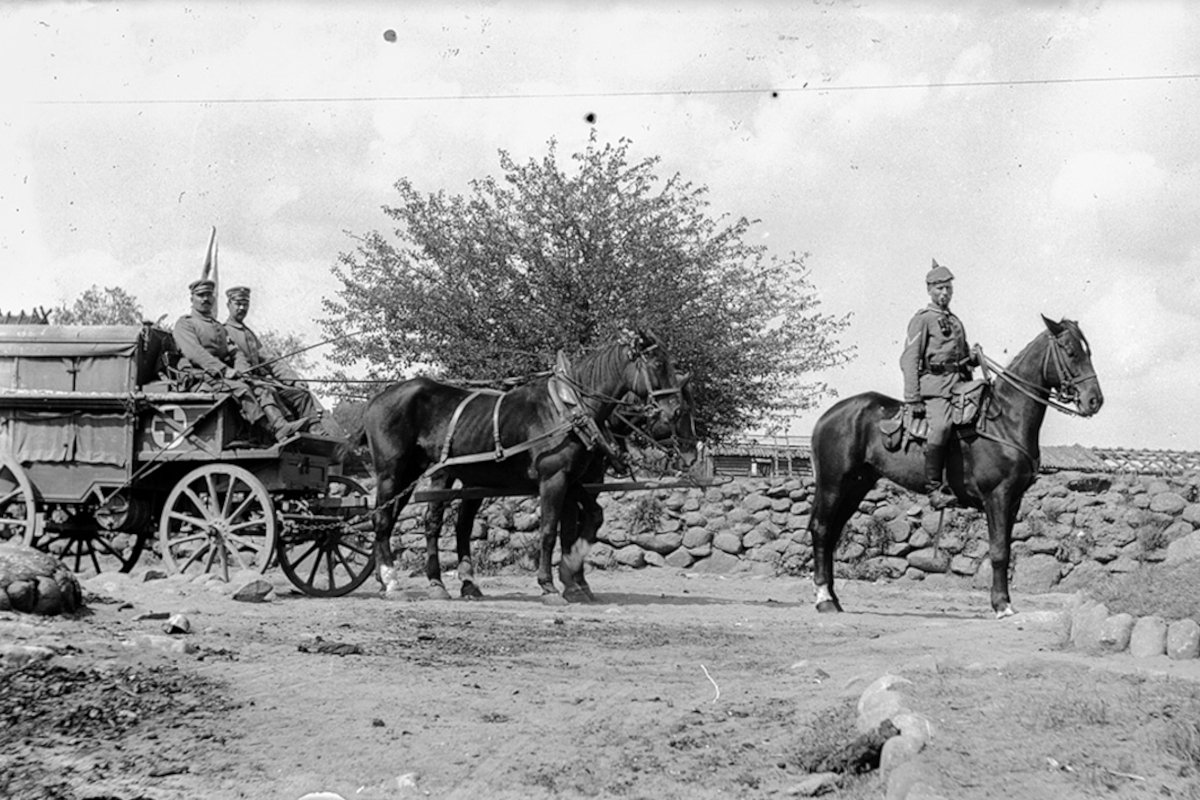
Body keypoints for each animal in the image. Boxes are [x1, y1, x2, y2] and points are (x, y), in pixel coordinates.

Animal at [362, 331, 686, 599]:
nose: (674, 411)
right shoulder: (553, 478)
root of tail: (378, 398)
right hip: (394, 473)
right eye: (658, 364)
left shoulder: (571, 480)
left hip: (416, 476)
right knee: (386, 520)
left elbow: (588, 520)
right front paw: (549, 584)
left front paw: (572, 576)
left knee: (418, 523)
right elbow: (549, 530)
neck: (568, 409)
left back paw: (432, 583)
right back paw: (393, 581)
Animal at [806, 316, 1104, 618]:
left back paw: (833, 598)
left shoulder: (1014, 500)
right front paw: (1001, 605)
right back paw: (823, 599)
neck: (1004, 421)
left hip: (856, 486)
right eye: (1070, 351)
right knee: (821, 529)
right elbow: (999, 552)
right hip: (833, 484)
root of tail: (827, 416)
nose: (1094, 400)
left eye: (1088, 351)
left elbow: (1006, 549)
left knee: (832, 533)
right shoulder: (997, 496)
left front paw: (1004, 601)